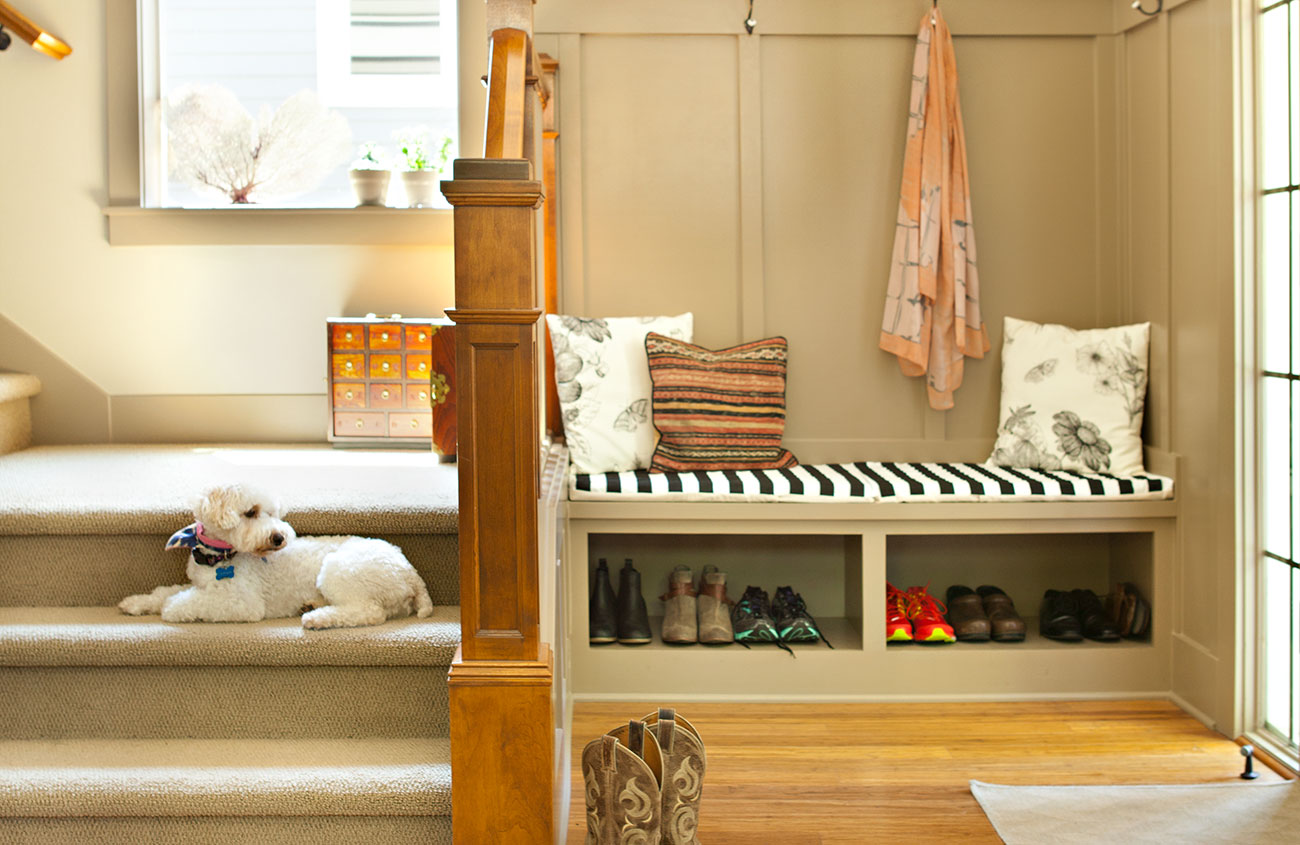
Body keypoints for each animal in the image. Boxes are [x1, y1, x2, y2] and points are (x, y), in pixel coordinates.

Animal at [118, 480, 431, 624]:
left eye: (272, 513)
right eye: (251, 512)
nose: (279, 537)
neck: (218, 557)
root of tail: (410, 572)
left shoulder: (241, 603)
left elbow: (184, 602)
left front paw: (173, 607)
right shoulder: (199, 582)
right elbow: (164, 592)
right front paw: (136, 602)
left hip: (340, 571)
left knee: (369, 612)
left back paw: (318, 618)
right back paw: (312, 606)